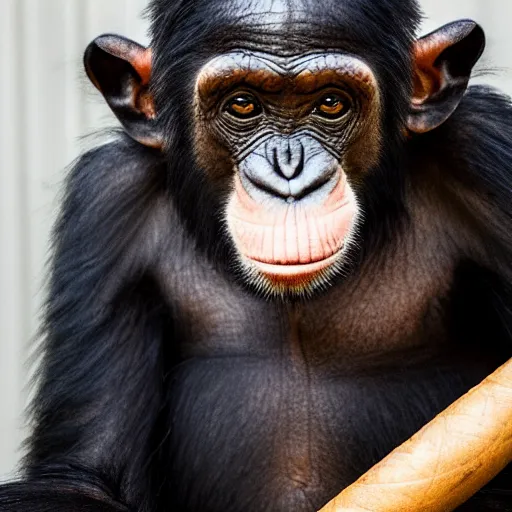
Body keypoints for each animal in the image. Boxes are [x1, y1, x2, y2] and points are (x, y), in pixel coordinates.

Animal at [1, 1, 512, 512]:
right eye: (243, 105)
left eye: (331, 103)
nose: (289, 174)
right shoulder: (106, 203)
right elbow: (84, 473)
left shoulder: (485, 147)